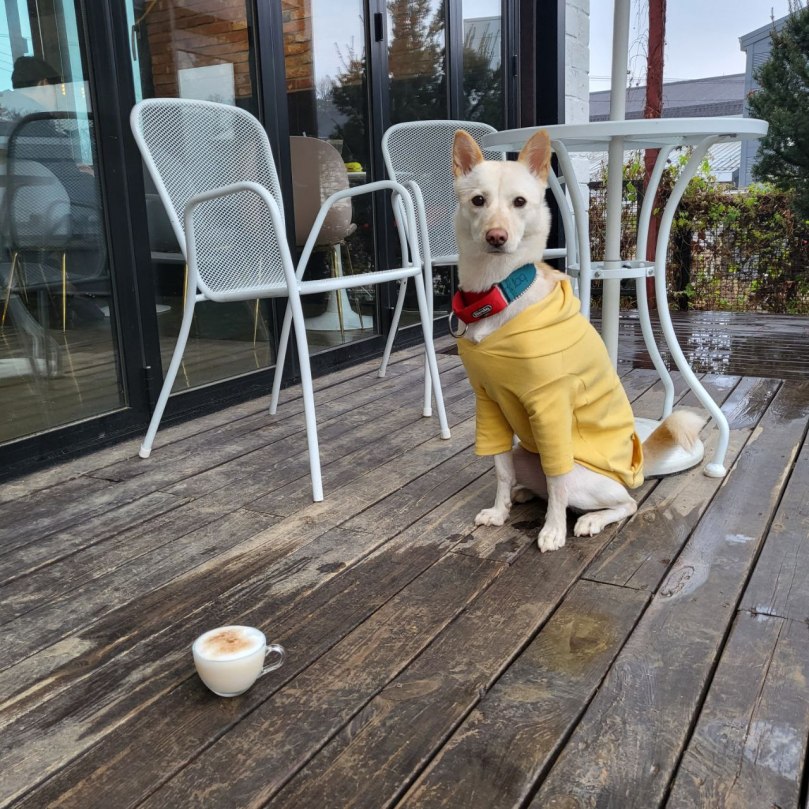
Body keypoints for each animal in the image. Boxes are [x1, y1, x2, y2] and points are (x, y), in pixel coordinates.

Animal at [450, 128, 705, 552]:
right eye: (478, 201)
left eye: (520, 202)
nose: (496, 237)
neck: (501, 290)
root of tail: (635, 467)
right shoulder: (489, 405)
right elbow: (500, 469)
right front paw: (500, 512)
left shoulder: (551, 409)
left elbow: (557, 481)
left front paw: (553, 531)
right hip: (525, 453)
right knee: (533, 480)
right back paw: (523, 494)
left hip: (588, 478)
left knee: (621, 501)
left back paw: (589, 520)